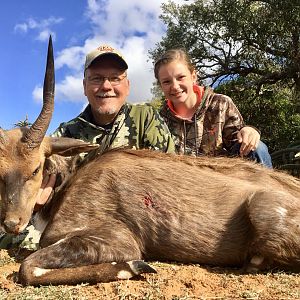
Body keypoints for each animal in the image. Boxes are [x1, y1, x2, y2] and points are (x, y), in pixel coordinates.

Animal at [0, 37, 298, 286]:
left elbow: (28, 268)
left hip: (263, 208)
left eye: (36, 168)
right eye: (1, 174)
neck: (68, 186)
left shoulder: (118, 240)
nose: (12, 223)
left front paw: (134, 267)